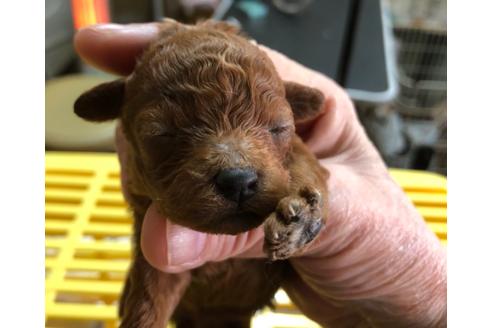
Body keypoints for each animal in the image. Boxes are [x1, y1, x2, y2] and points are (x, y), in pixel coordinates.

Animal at [75, 19, 328, 328]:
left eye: (278, 128)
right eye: (163, 134)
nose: (238, 181)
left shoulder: (299, 152)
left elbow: (304, 163)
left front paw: (300, 215)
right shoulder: (156, 255)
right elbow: (148, 302)